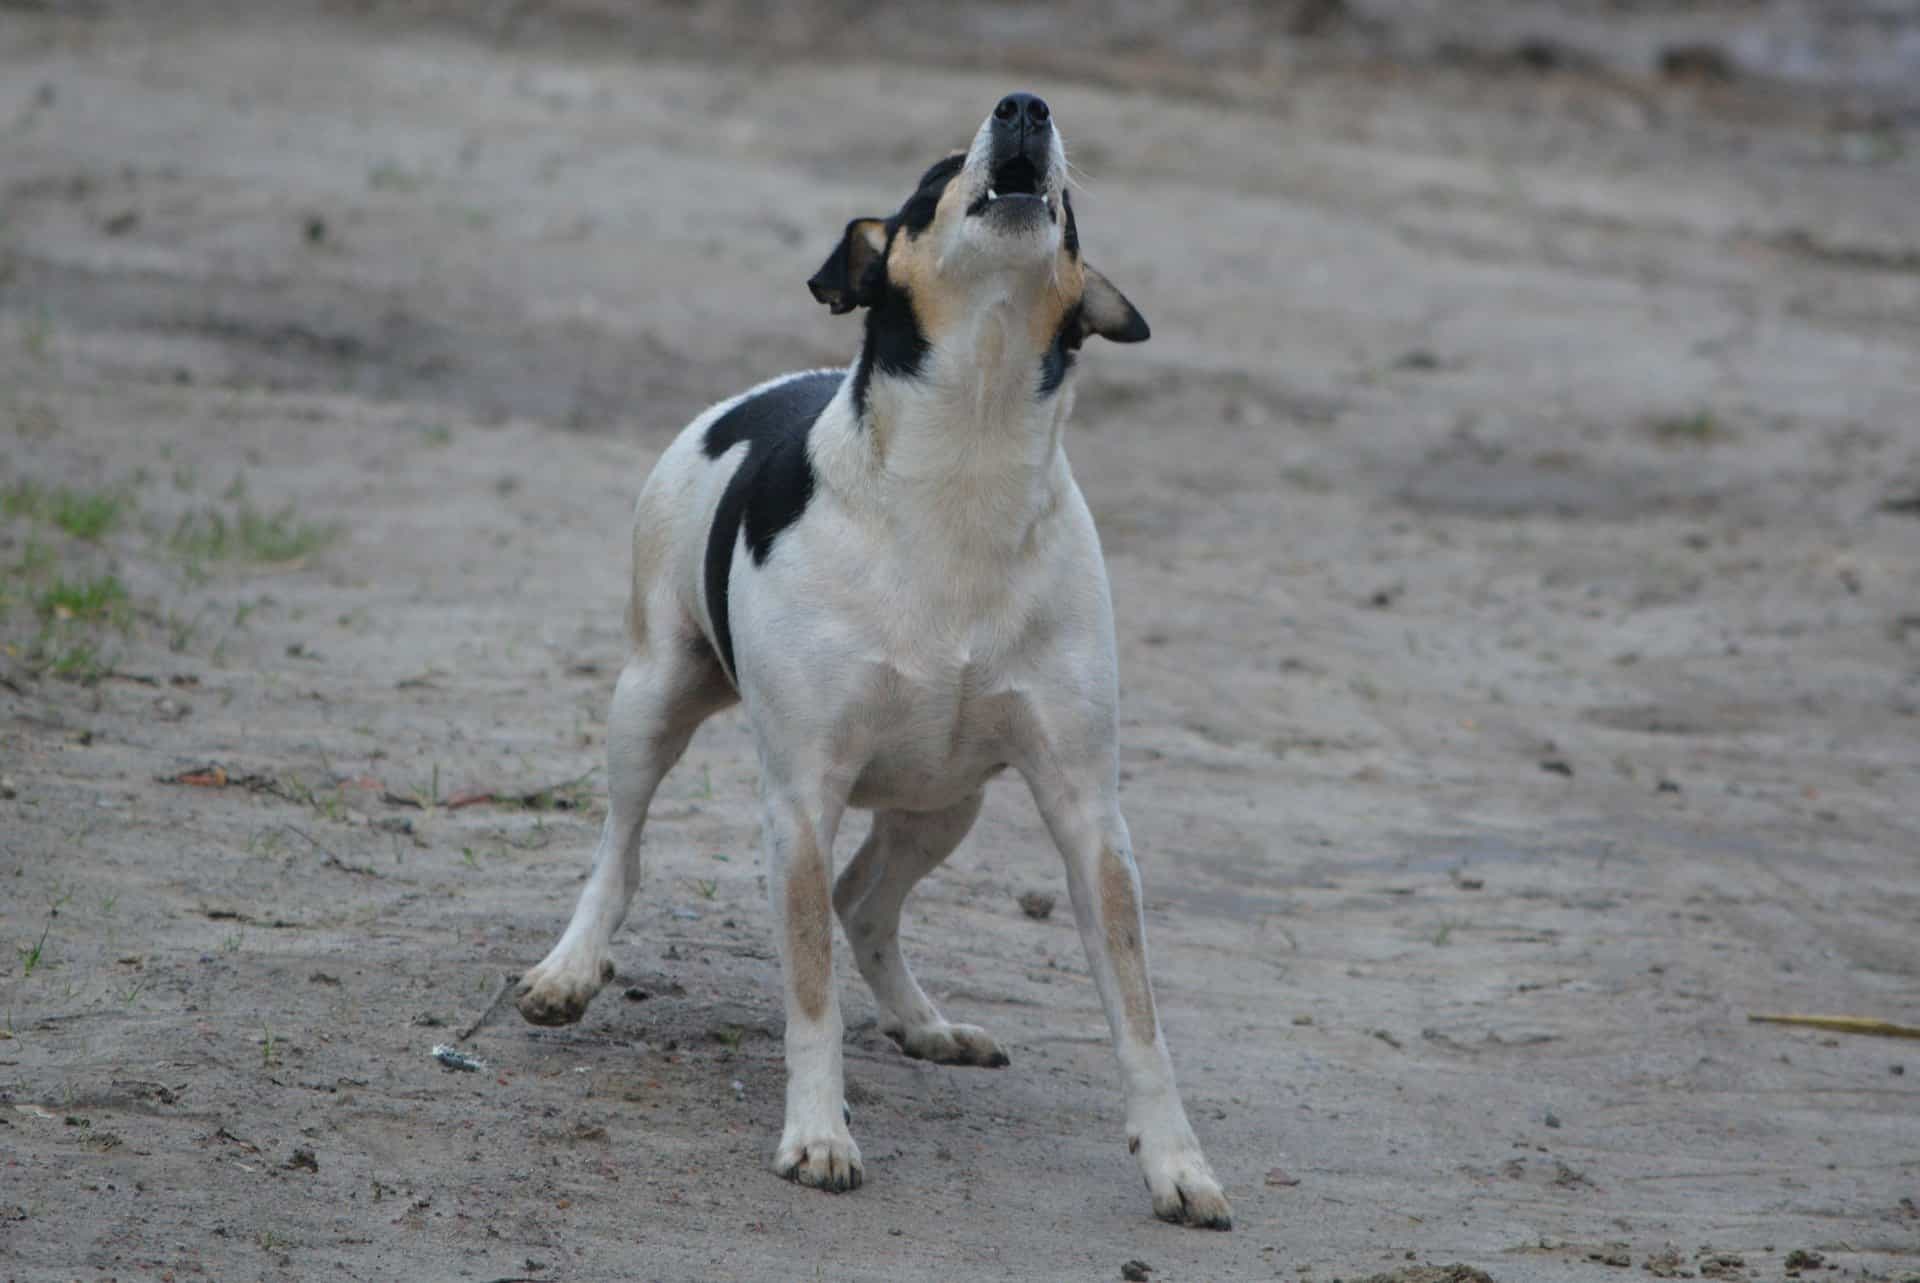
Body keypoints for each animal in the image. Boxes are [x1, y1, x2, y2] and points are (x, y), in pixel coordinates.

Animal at [510, 92, 1228, 1229]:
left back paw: (925, 1021)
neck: (967, 458)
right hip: (650, 698)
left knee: (866, 901)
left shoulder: (1088, 812)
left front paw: (1176, 1162)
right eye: (935, 177)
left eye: (1071, 207)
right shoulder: (802, 798)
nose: (1025, 107)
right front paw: (818, 1133)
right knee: (621, 851)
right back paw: (570, 968)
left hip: (946, 801)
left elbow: (1139, 1014)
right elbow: (809, 990)